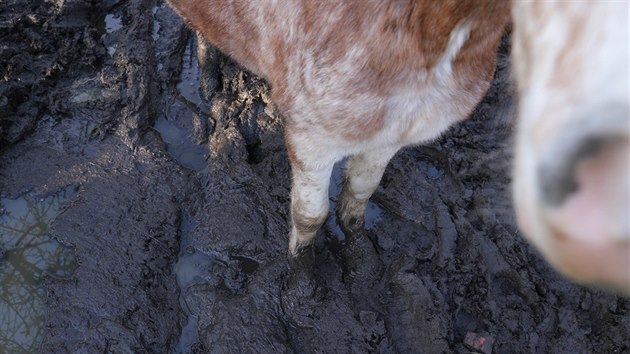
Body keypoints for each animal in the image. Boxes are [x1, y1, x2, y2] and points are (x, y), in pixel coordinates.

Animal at [168, 0, 630, 294]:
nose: (606, 189)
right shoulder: (311, 134)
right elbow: (310, 215)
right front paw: (301, 284)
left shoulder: (393, 134)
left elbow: (359, 194)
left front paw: (359, 259)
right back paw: (208, 79)